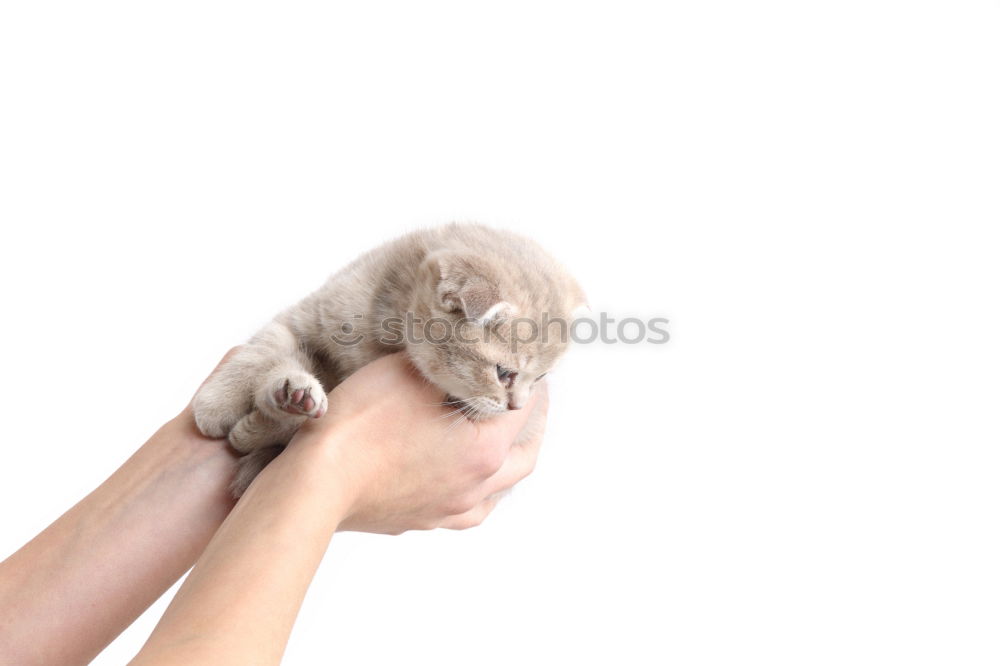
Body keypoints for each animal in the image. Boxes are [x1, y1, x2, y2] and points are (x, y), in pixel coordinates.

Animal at [193, 222, 584, 492]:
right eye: (503, 373)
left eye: (540, 378)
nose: (517, 408)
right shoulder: (304, 319)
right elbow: (260, 350)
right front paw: (217, 404)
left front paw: (261, 426)